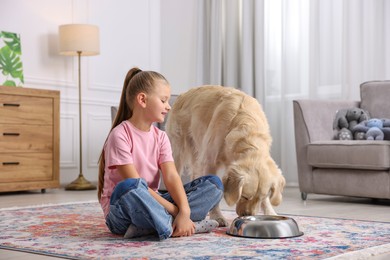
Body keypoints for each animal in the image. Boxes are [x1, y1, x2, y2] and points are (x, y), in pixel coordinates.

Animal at [165, 85, 284, 225]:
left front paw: (271, 213)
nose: (247, 215)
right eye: (244, 196)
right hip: (177, 150)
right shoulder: (210, 161)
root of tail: (184, 93)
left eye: (261, 198)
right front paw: (217, 216)